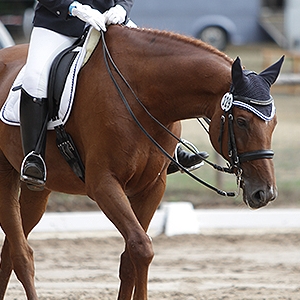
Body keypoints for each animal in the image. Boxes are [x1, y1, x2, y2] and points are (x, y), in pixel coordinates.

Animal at [0, 26, 282, 300]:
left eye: (274, 123)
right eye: (242, 121)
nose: (265, 193)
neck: (143, 96)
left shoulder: (151, 187)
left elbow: (130, 257)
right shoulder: (103, 184)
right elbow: (142, 247)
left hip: (39, 189)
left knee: (9, 251)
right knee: (20, 255)